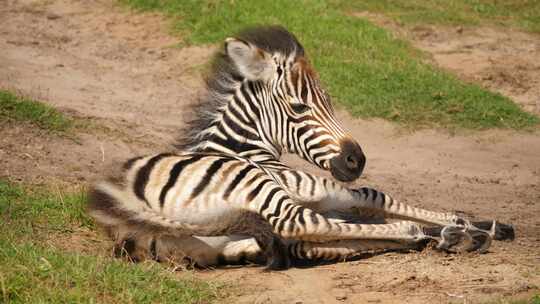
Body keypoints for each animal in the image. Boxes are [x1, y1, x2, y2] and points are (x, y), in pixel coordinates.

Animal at [88, 25, 516, 268]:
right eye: (298, 108)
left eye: (331, 103)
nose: (356, 159)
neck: (243, 147)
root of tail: (126, 202)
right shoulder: (309, 184)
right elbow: (375, 196)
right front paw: (469, 223)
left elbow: (360, 218)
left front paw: (470, 225)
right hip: (261, 190)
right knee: (302, 225)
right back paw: (431, 234)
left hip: (227, 241)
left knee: (308, 243)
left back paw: (440, 237)